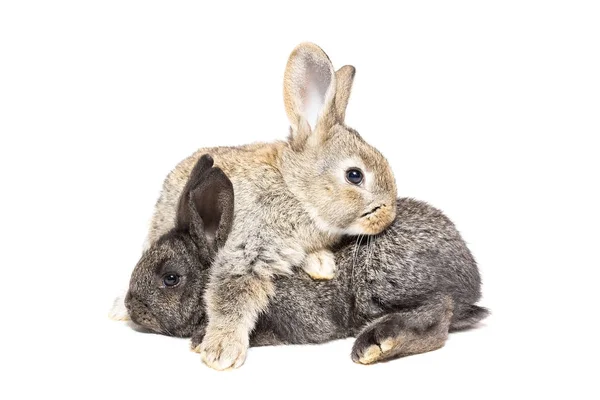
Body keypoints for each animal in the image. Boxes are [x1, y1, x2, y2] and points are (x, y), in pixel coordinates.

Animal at [126, 154, 488, 366]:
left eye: (170, 278)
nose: (132, 307)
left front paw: (205, 341)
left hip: (382, 279)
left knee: (439, 312)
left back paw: (376, 344)